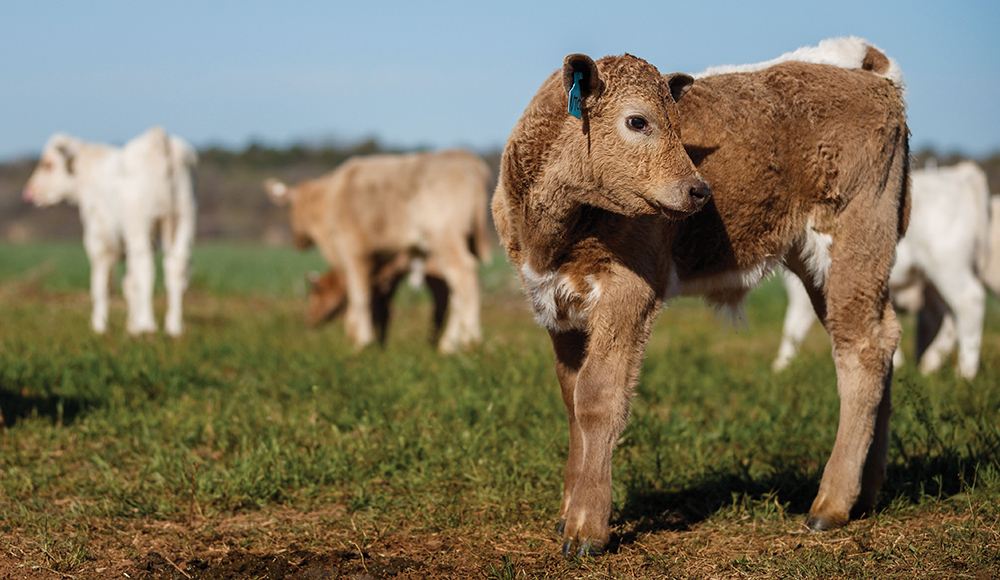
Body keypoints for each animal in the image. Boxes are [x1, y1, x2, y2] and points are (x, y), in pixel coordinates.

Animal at [22, 126, 198, 336]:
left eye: (47, 164)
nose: (28, 192)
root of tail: (157, 137)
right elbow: (129, 284)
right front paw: (132, 326)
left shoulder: (98, 240)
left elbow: (102, 284)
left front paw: (99, 325)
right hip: (184, 218)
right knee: (176, 266)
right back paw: (174, 326)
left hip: (140, 223)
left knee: (145, 266)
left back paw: (147, 324)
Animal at [265, 149, 492, 353]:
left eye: (313, 295)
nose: (307, 322)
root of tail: (464, 157)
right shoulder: (381, 270)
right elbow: (378, 306)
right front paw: (374, 342)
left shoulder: (354, 252)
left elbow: (360, 297)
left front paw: (361, 341)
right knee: (455, 293)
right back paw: (449, 344)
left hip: (444, 239)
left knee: (463, 279)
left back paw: (467, 340)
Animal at [491, 37, 909, 555]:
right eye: (637, 121)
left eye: (679, 123)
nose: (699, 190)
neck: (551, 232)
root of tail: (866, 69)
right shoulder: (554, 302)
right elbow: (571, 400)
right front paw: (568, 512)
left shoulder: (630, 291)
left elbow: (597, 396)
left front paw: (587, 527)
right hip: (824, 265)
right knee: (880, 337)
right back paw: (867, 494)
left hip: (856, 237)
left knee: (861, 351)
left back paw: (830, 503)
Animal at [774, 161, 995, 379]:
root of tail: (958, 173)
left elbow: (793, 327)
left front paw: (781, 367)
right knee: (948, 316)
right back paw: (929, 364)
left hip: (947, 265)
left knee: (968, 302)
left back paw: (965, 373)